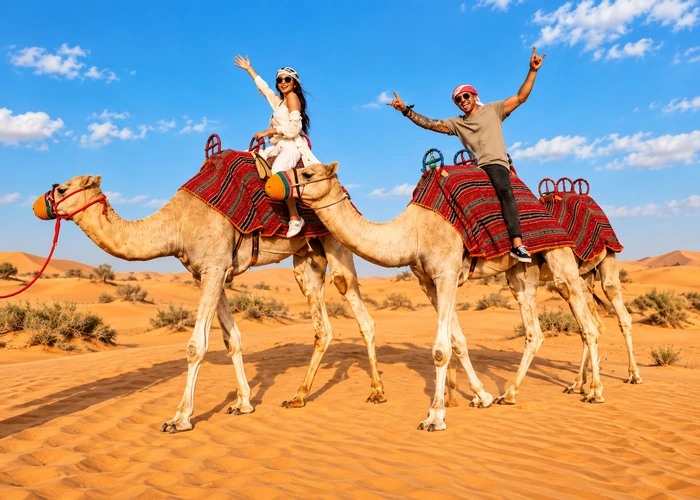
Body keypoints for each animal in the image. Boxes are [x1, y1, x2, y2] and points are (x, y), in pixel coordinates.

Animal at [40, 175, 385, 433]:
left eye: (62, 188)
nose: (40, 205)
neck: (176, 224)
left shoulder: (215, 267)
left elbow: (196, 346)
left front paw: (179, 419)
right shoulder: (204, 272)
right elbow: (232, 339)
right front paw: (243, 403)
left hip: (335, 240)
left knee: (357, 305)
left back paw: (378, 392)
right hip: (306, 257)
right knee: (322, 326)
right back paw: (298, 396)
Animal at [292, 162, 606, 431]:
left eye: (307, 173)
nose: (280, 186)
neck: (413, 233)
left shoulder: (446, 273)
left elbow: (441, 350)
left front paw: (435, 416)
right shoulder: (428, 282)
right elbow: (458, 343)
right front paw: (482, 396)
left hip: (560, 258)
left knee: (587, 324)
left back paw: (594, 392)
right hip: (521, 274)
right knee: (534, 331)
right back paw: (510, 394)